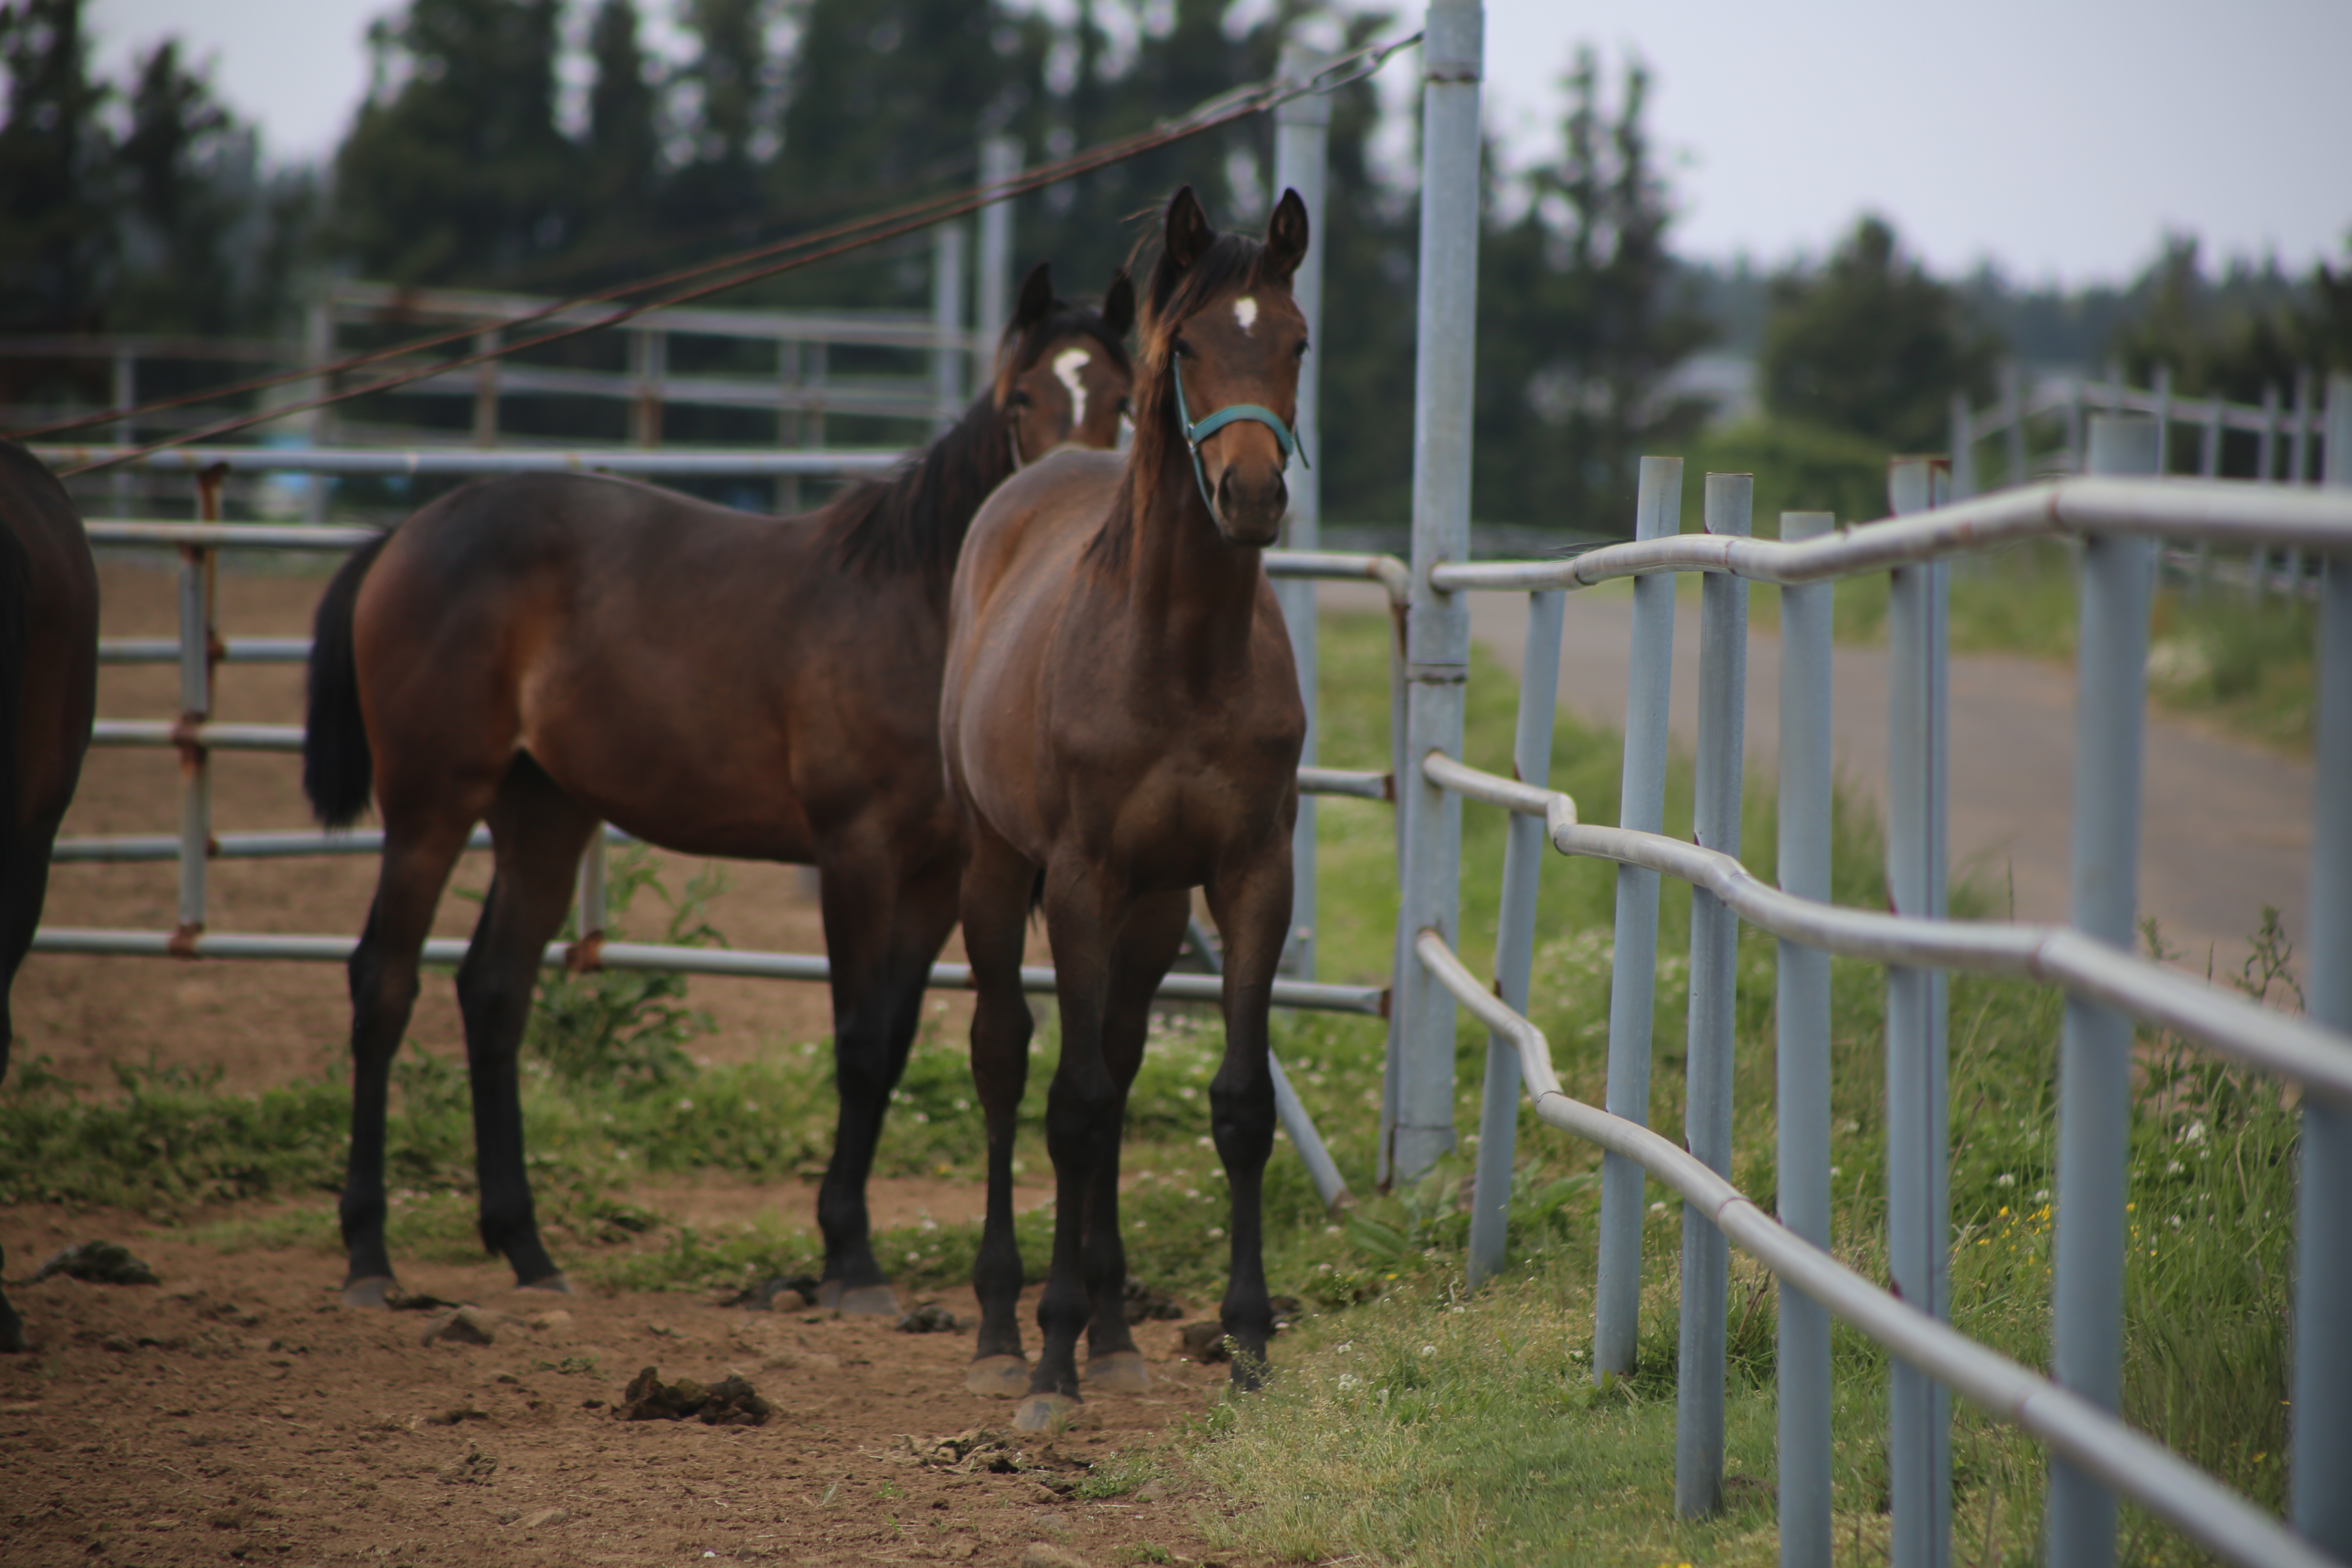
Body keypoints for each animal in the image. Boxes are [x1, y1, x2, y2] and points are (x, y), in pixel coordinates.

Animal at [305, 267, 1138, 1316]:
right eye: (1023, 398)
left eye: (1122, 399)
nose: (1066, 502)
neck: (926, 611)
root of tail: (403, 535)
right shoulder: (854, 853)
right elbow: (858, 1041)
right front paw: (851, 1261)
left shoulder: (937, 877)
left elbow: (894, 1040)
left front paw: (843, 1252)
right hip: (431, 807)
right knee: (384, 981)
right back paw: (368, 1256)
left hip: (544, 814)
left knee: (493, 991)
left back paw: (528, 1250)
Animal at [936, 190, 1307, 1429]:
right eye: (1184, 346)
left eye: (1296, 342)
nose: (1251, 494)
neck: (1180, 654)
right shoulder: (1080, 877)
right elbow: (1075, 1107)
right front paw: (1050, 1362)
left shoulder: (1251, 877)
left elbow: (1238, 1104)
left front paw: (1248, 1346)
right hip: (998, 873)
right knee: (1008, 1059)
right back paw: (1005, 1329)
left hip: (1147, 914)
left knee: (1120, 1048)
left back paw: (1113, 1332)